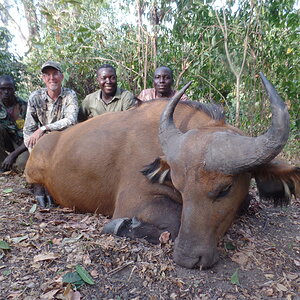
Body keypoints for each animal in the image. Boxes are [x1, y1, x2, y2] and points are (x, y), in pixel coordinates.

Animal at [25, 73, 298, 270]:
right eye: (179, 186)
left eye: (226, 188)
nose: (187, 258)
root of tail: (48, 141)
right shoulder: (134, 202)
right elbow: (174, 221)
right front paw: (122, 226)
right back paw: (42, 196)